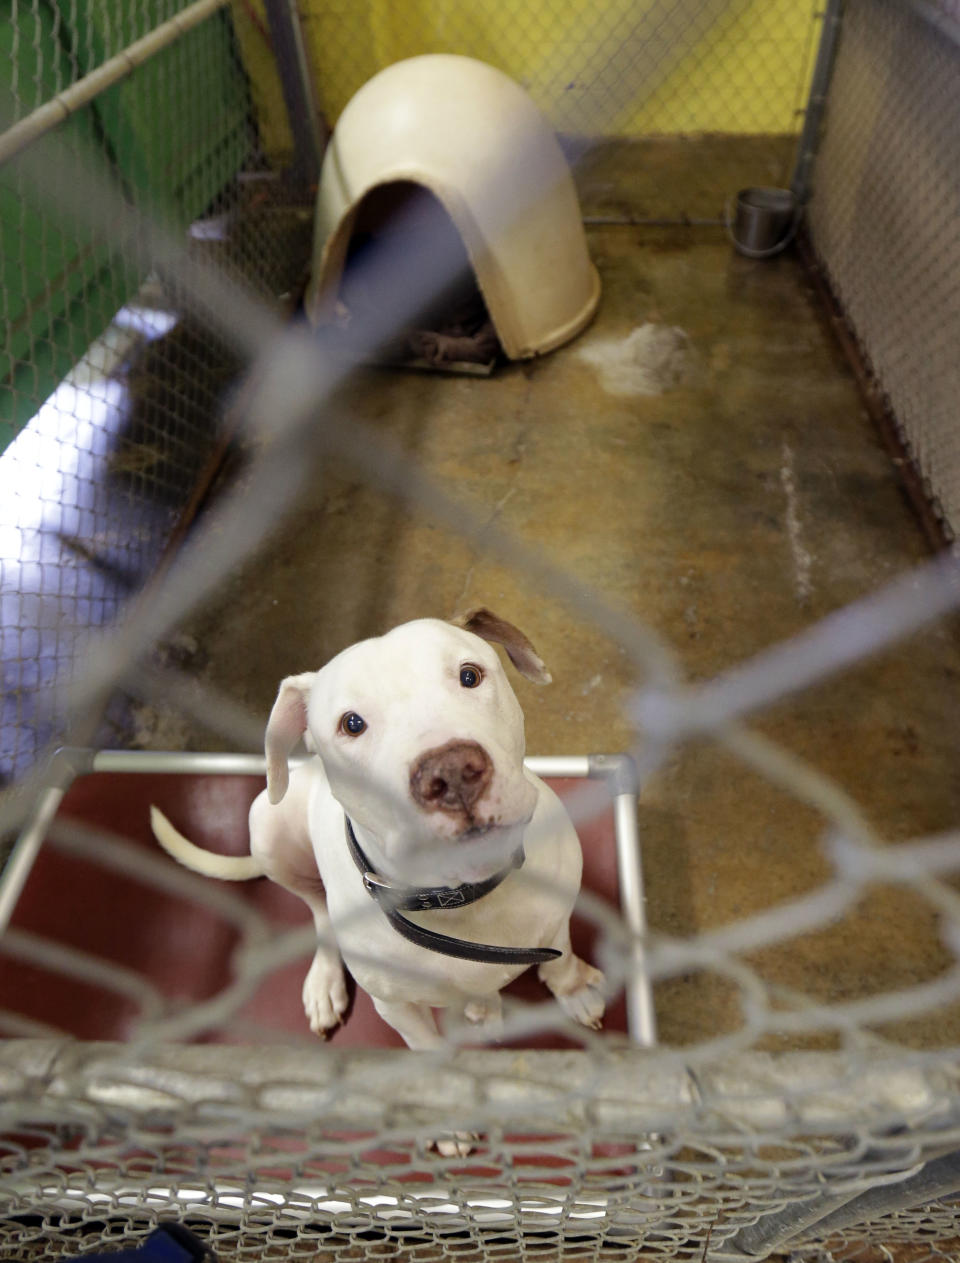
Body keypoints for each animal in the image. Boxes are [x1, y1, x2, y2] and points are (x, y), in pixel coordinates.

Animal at [150, 606, 603, 1050]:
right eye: (352, 724)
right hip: (267, 826)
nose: (451, 772)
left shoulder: (557, 917)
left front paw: (574, 988)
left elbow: (561, 958)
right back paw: (325, 983)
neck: (465, 900)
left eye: (469, 676)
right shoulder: (397, 1009)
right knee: (318, 910)